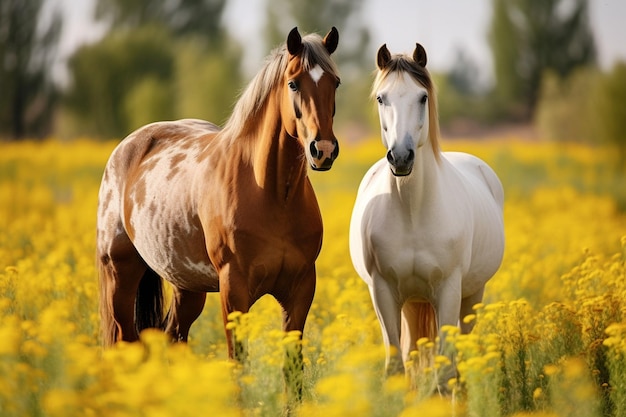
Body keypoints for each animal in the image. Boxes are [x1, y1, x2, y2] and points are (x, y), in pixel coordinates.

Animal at [97, 26, 338, 394]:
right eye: (294, 83)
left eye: (335, 82)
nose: (322, 150)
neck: (272, 195)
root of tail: (129, 146)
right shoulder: (233, 289)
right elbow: (237, 364)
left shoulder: (300, 289)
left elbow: (292, 370)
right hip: (120, 277)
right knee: (127, 342)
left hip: (187, 288)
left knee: (173, 337)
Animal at [348, 44, 504, 376]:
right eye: (381, 98)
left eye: (422, 97)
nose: (400, 157)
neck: (413, 214)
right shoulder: (384, 293)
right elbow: (396, 365)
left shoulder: (448, 291)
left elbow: (446, 370)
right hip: (412, 302)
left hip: (472, 295)